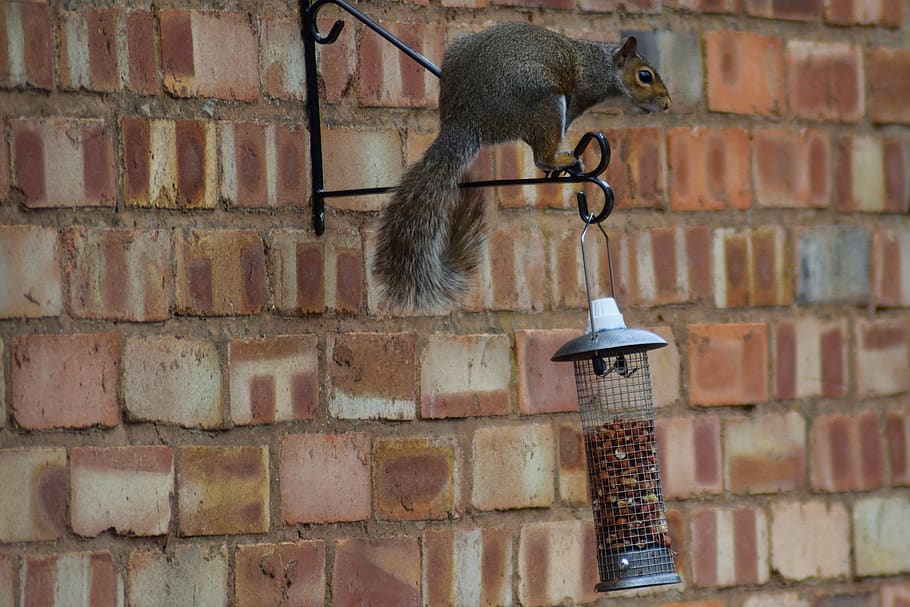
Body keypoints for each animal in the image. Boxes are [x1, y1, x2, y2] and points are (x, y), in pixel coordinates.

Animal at [374, 21, 672, 312]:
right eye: (645, 76)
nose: (668, 104)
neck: (601, 64)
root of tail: (465, 119)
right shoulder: (582, 92)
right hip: (544, 102)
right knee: (541, 153)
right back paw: (559, 159)